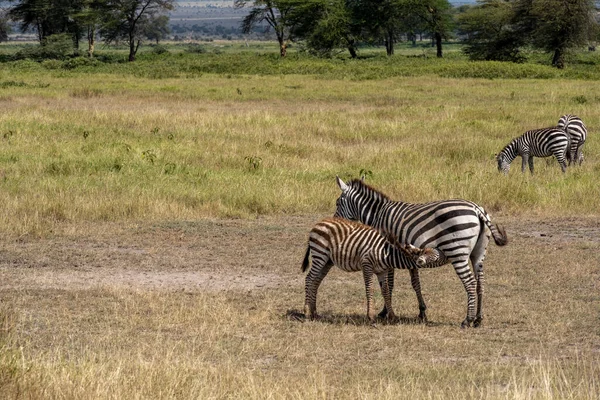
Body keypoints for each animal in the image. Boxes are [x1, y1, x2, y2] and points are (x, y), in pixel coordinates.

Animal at [300, 217, 446, 324]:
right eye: (436, 257)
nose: (447, 255)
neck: (387, 254)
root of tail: (319, 223)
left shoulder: (382, 271)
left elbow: (385, 291)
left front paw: (392, 316)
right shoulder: (367, 265)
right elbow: (369, 289)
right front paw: (371, 316)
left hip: (327, 261)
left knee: (316, 281)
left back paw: (314, 312)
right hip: (320, 254)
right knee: (309, 278)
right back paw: (307, 312)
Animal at [332, 178, 506, 328]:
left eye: (337, 203)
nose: (335, 221)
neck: (378, 214)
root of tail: (476, 209)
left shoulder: (386, 252)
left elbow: (389, 284)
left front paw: (384, 311)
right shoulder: (408, 255)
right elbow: (415, 283)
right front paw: (422, 311)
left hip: (457, 252)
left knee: (470, 282)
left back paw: (467, 320)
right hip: (478, 254)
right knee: (480, 283)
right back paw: (478, 319)